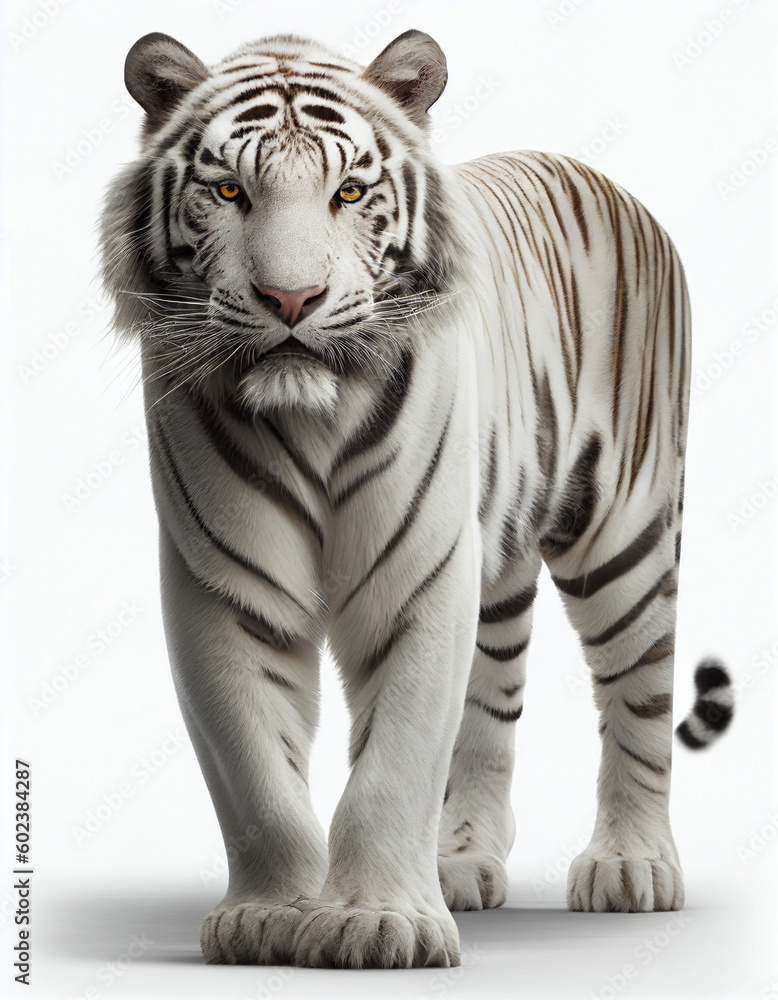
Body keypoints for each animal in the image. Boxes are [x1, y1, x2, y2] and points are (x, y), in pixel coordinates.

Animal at [100, 29, 734, 969]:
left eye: (349, 192)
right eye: (229, 190)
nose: (291, 299)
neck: (308, 419)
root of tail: (594, 171)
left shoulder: (418, 575)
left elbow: (392, 766)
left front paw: (375, 921)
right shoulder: (227, 586)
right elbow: (255, 771)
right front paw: (271, 915)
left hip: (625, 531)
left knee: (641, 691)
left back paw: (633, 865)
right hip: (496, 561)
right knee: (491, 703)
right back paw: (461, 861)